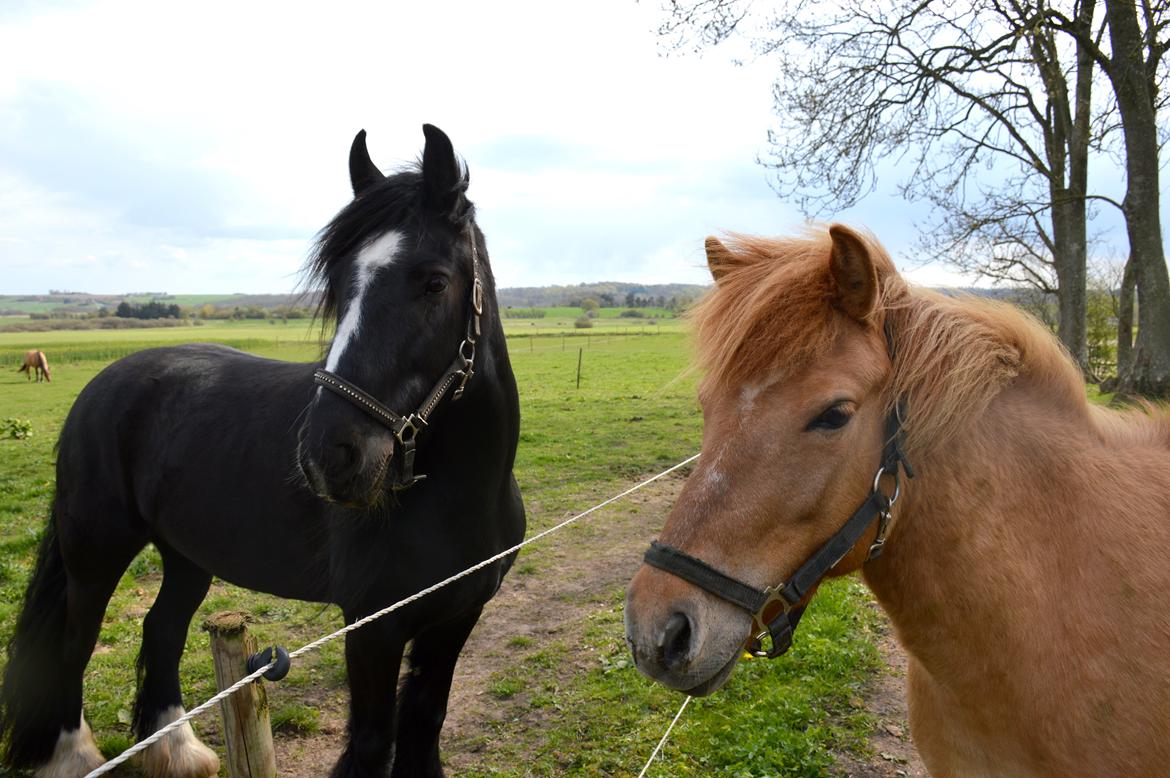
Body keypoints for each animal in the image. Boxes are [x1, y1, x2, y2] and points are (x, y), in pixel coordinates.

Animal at [0, 124, 524, 772]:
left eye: (434, 282)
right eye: (339, 284)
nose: (330, 456)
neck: (458, 498)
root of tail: (102, 385)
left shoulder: (455, 622)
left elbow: (424, 725)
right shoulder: (372, 630)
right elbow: (372, 742)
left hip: (186, 556)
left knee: (161, 631)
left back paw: (178, 752)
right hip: (95, 553)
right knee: (75, 646)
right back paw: (73, 757)